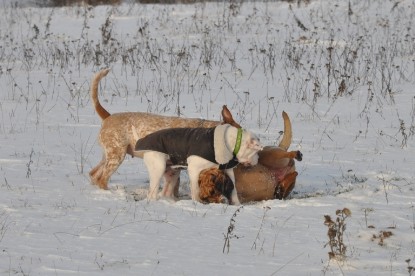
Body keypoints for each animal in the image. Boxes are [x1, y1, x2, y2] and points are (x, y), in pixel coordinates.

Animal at [134, 124, 264, 204]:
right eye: (256, 152)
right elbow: (196, 190)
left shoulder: (228, 171)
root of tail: (142, 140)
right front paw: (197, 204)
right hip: (158, 169)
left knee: (166, 190)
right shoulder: (194, 170)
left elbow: (234, 191)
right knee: (152, 193)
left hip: (172, 173)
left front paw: (237, 204)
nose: (258, 159)